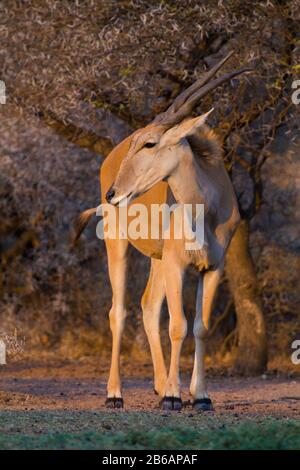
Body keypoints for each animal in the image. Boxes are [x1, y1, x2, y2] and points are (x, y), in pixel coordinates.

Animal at [76, 52, 250, 412]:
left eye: (150, 143)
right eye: (140, 141)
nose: (113, 194)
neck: (206, 209)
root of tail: (107, 161)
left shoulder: (212, 268)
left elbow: (201, 327)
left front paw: (200, 396)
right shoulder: (177, 265)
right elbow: (178, 326)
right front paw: (173, 396)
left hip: (158, 260)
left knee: (148, 306)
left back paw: (159, 385)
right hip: (119, 247)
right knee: (119, 312)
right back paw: (115, 394)